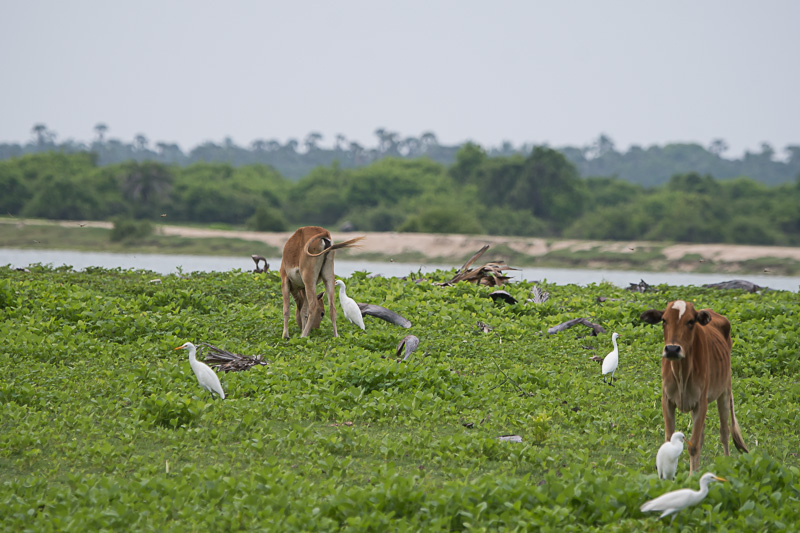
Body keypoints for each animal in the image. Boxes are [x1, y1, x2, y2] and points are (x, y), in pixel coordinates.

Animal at [640, 302, 748, 472]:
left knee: (724, 432)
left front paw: (692, 475)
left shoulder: (701, 403)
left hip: (724, 392)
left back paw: (725, 463)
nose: (672, 349)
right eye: (664, 320)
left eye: (691, 321)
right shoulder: (667, 401)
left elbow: (694, 446)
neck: (681, 374)